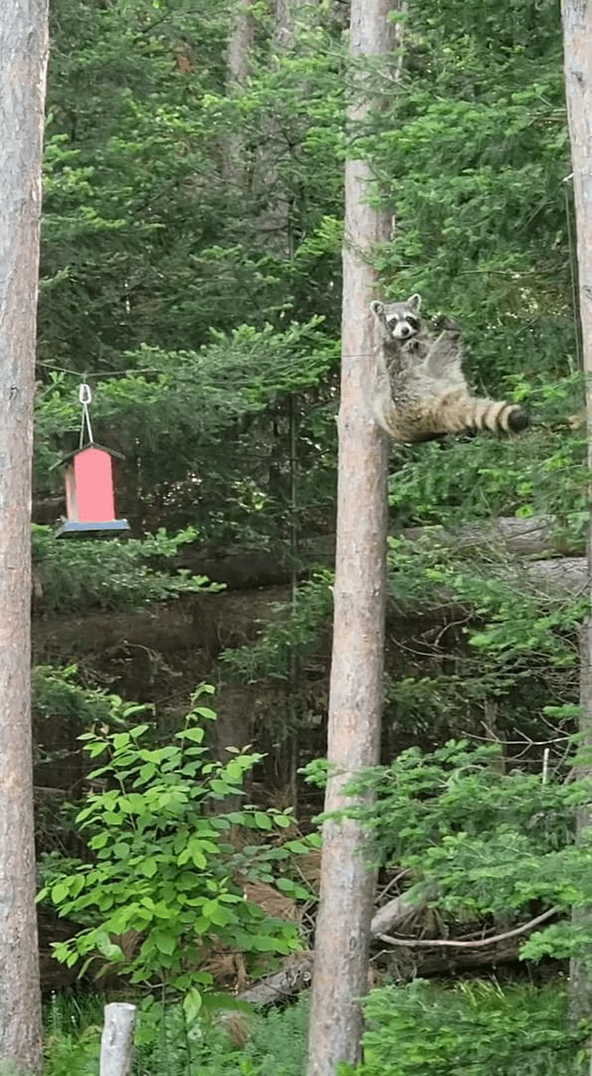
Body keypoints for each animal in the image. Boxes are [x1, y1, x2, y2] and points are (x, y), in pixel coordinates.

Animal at [368, 294, 531, 445]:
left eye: (409, 319)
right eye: (393, 320)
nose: (405, 330)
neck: (405, 340)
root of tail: (432, 417)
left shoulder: (420, 343)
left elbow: (423, 347)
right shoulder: (386, 356)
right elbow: (392, 356)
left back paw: (450, 329)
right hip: (410, 385)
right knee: (419, 358)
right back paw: (451, 332)